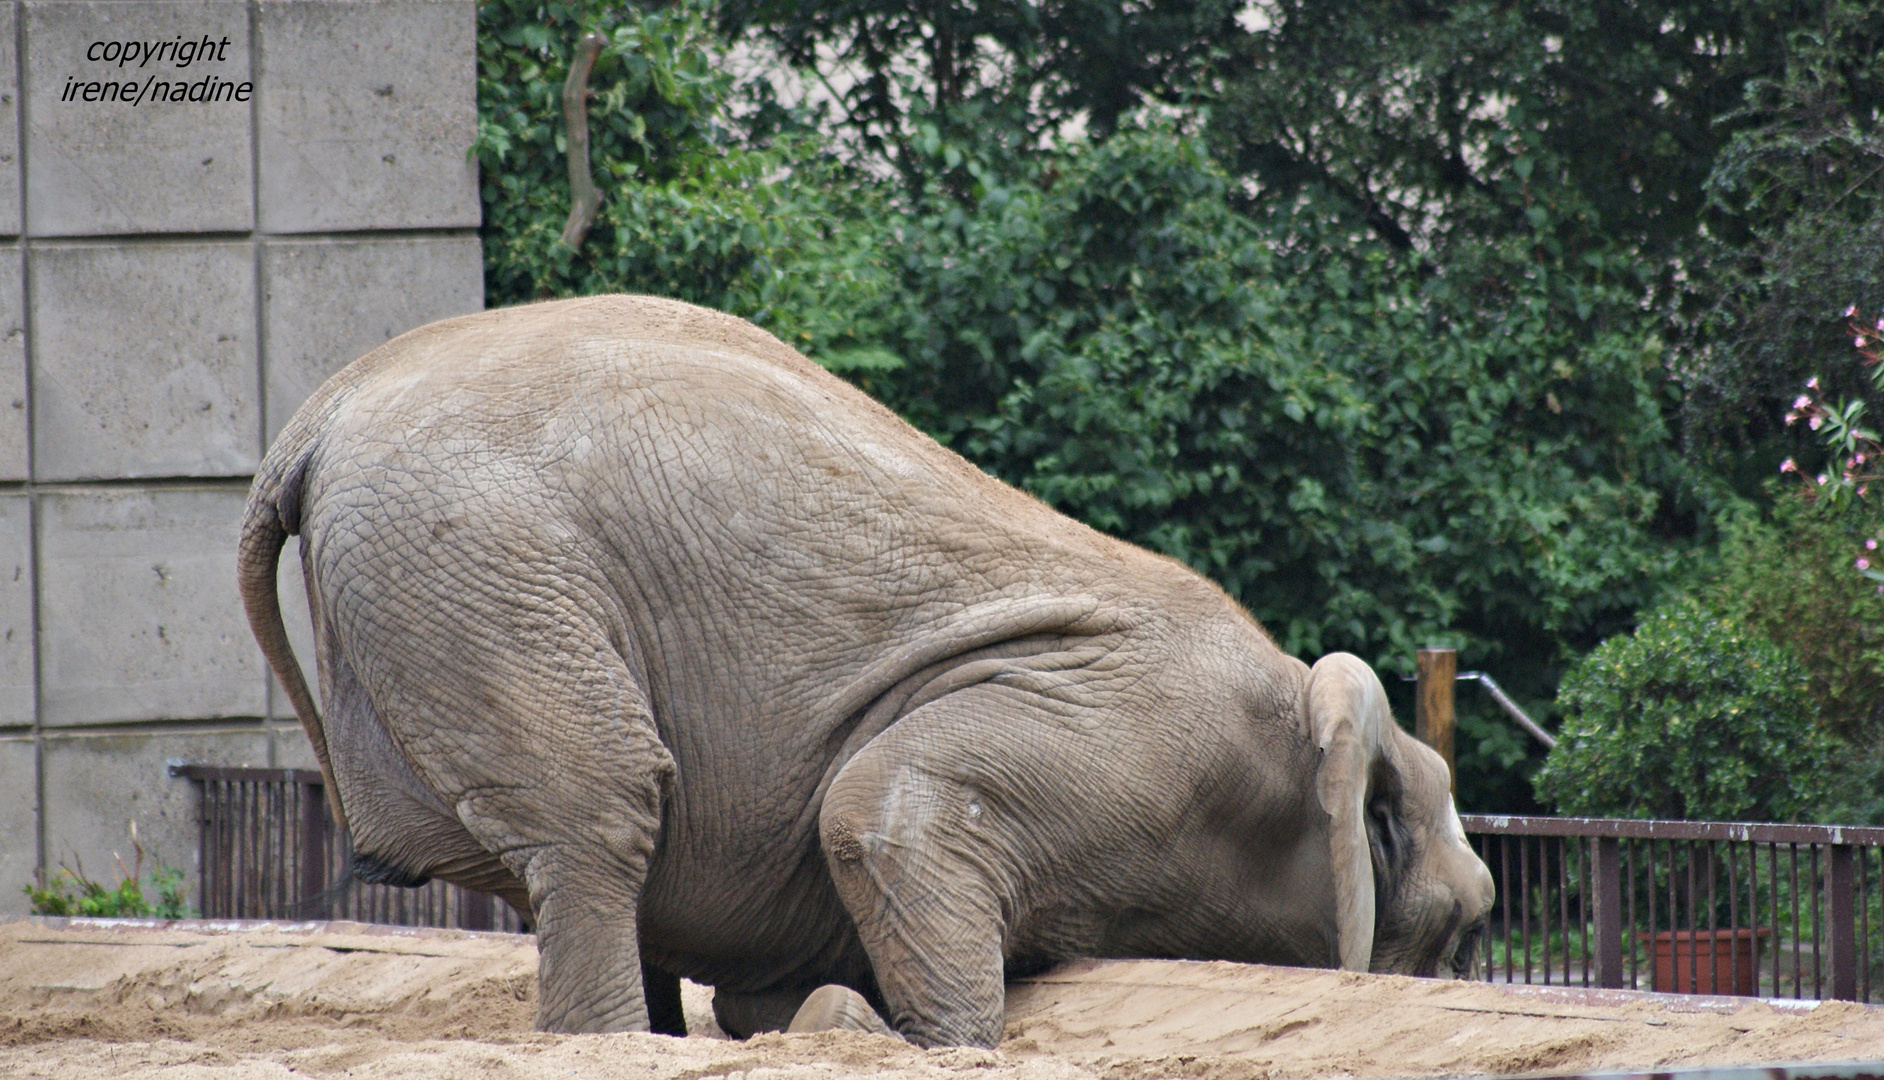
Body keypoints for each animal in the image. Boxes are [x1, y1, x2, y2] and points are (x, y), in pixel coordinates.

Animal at [239, 294, 1499, 1047]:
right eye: (1466, 929)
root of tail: (309, 424)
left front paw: (811, 1015)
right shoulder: (1134, 732)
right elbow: (880, 811)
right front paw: (899, 1034)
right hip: (477, 568)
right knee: (603, 811)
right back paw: (616, 1040)